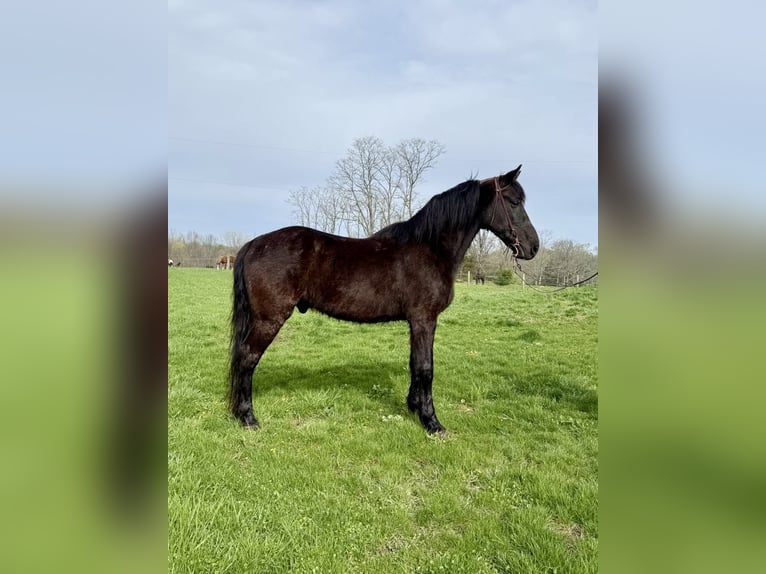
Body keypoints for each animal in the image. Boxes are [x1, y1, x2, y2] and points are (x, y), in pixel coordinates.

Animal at [229, 166, 539, 434]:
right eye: (513, 202)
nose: (533, 247)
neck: (431, 247)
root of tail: (253, 244)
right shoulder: (424, 319)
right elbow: (426, 368)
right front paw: (432, 423)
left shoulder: (417, 322)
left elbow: (415, 364)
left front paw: (414, 408)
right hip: (269, 319)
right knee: (247, 358)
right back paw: (248, 418)